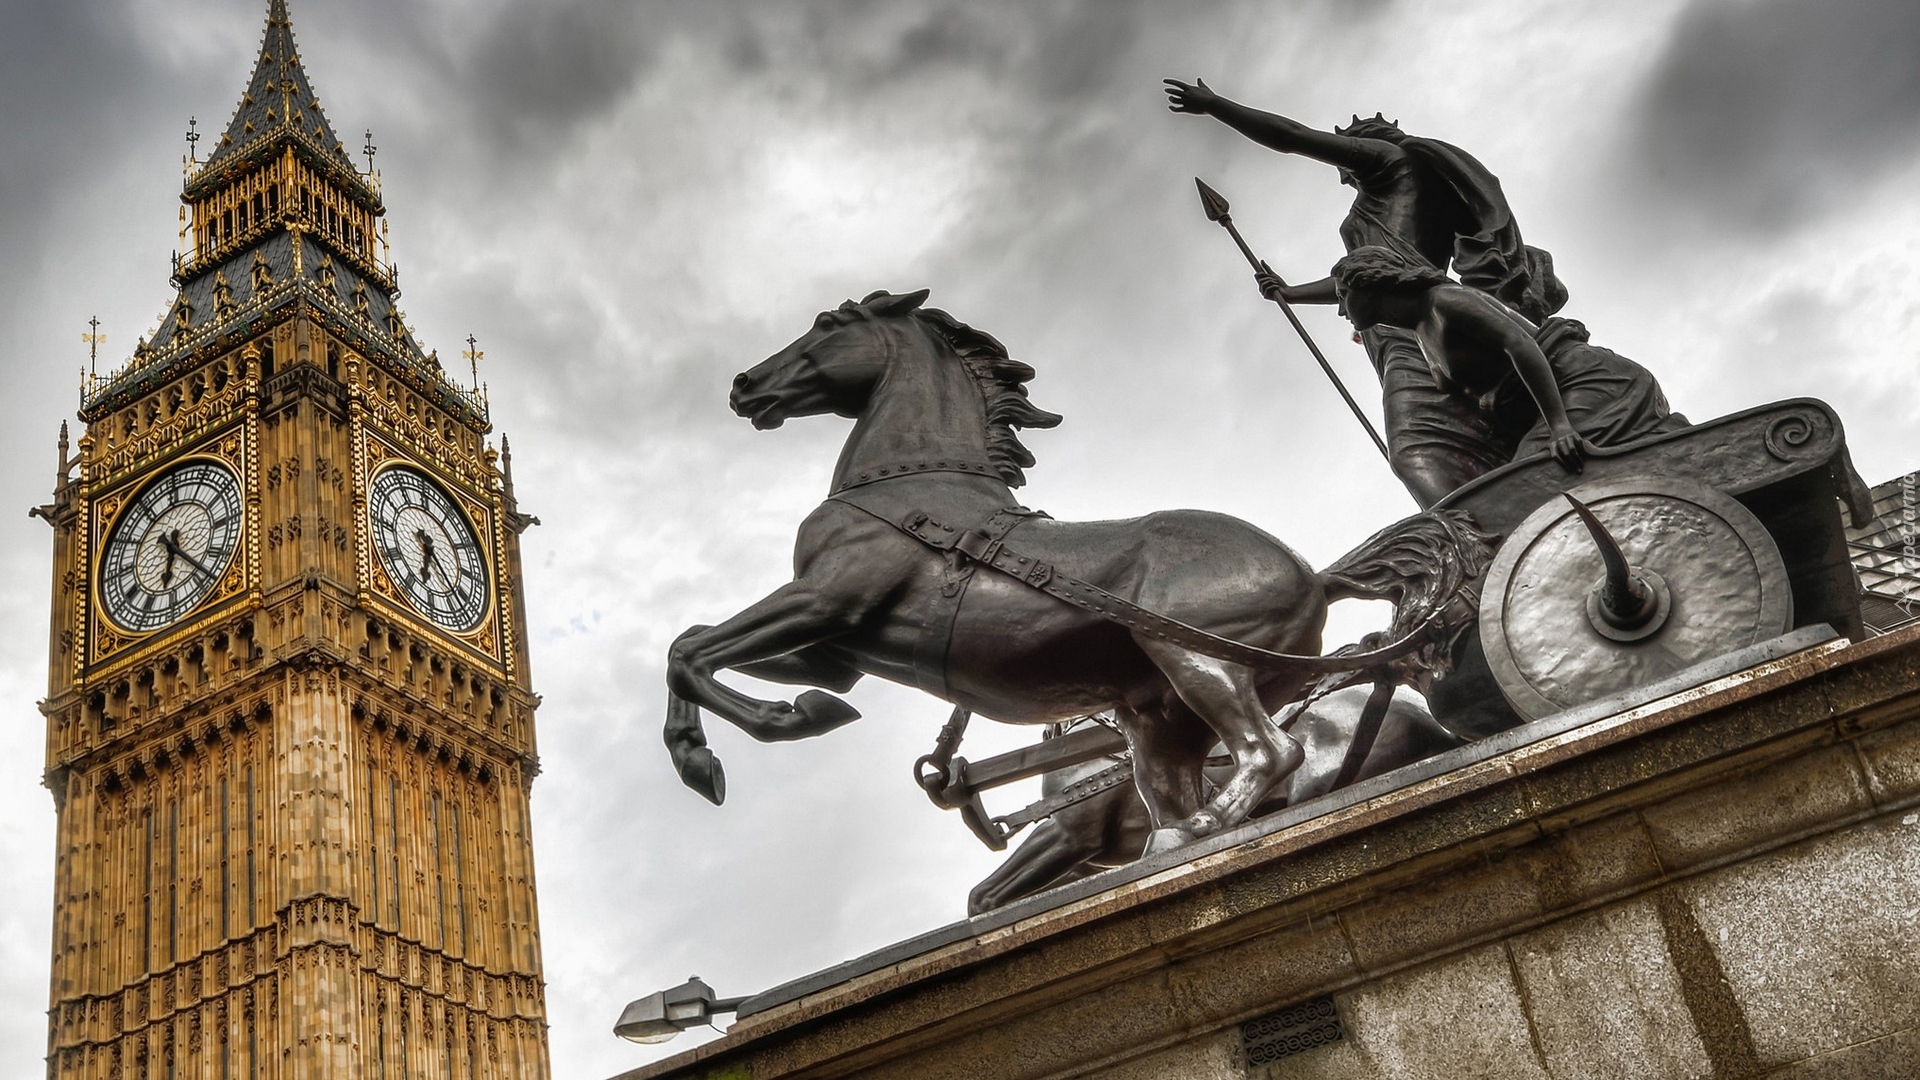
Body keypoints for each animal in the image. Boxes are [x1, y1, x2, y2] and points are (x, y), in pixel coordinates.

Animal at [668, 288, 1489, 849]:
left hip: (1196, 659)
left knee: (1270, 750)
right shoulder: (838, 649)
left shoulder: (824, 599)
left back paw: (1203, 828)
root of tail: (1317, 577)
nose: (746, 386)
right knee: (1177, 787)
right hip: (1155, 717)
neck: (908, 486)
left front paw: (747, 740)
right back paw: (1173, 838)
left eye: (828, 326)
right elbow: (700, 646)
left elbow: (688, 652)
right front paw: (789, 717)